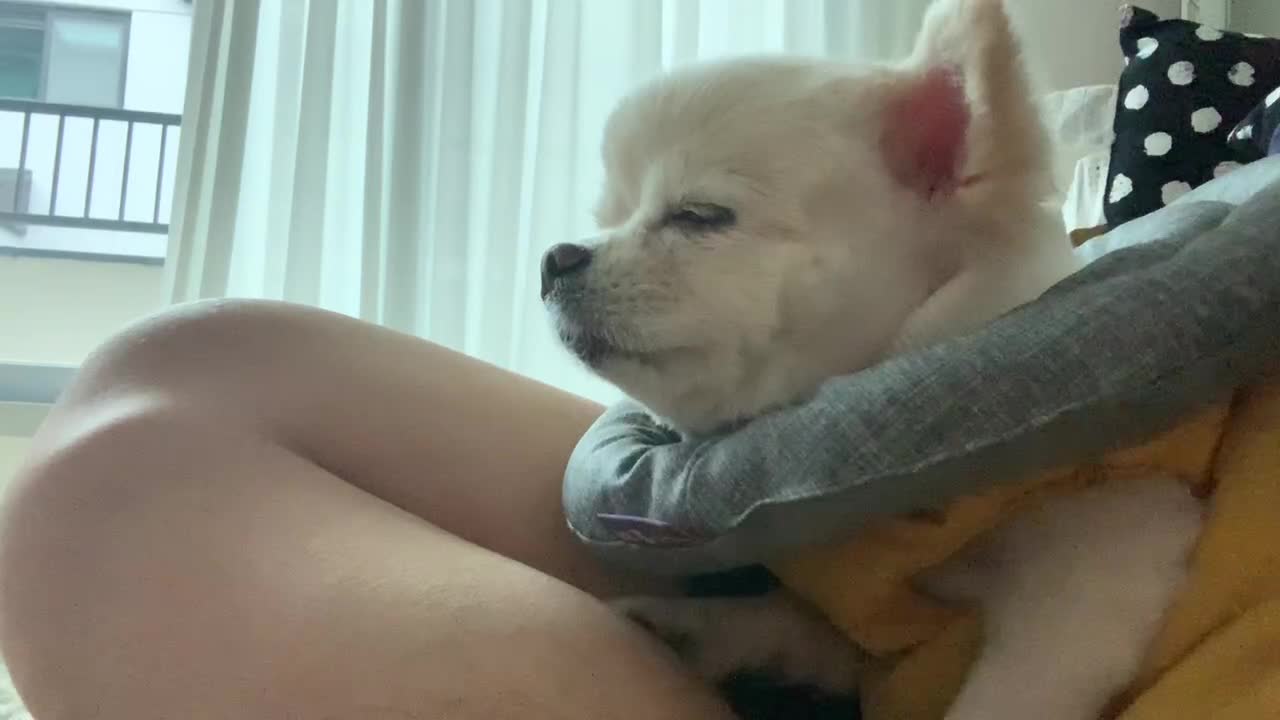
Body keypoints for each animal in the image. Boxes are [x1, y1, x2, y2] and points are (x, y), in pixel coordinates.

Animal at [545, 0, 1203, 712]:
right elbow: (812, 631)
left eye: (699, 215)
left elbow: (1006, 693)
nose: (555, 258)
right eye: (606, 218)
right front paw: (703, 627)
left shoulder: (1112, 543)